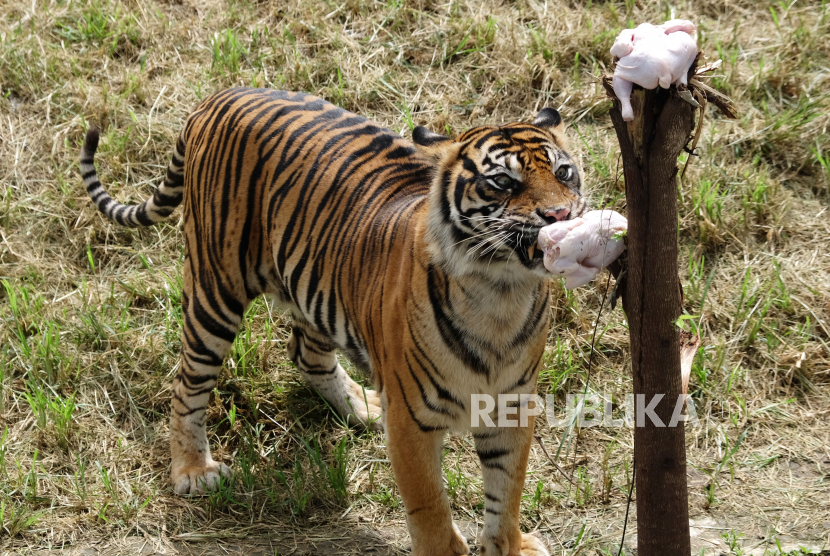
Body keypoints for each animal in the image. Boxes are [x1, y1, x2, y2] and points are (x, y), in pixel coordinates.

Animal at [78, 87, 584, 556]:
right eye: (502, 182)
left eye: (563, 172)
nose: (560, 214)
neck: (501, 293)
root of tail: (222, 94)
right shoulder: (412, 421)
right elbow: (430, 504)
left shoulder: (512, 405)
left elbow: (506, 491)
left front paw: (509, 546)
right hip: (214, 289)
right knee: (188, 384)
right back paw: (193, 471)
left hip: (316, 288)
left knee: (305, 353)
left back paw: (363, 408)